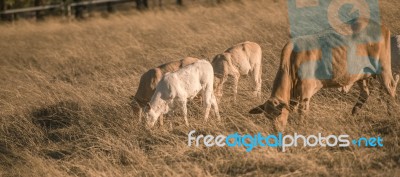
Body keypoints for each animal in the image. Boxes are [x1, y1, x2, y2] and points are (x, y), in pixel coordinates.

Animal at [248, 20, 398, 131]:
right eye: (267, 116)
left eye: (278, 114)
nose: (276, 130)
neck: (291, 62)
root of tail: (380, 26)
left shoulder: (305, 94)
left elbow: (302, 114)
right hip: (362, 74)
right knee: (365, 93)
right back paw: (353, 114)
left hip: (384, 68)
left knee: (390, 88)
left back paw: (392, 115)